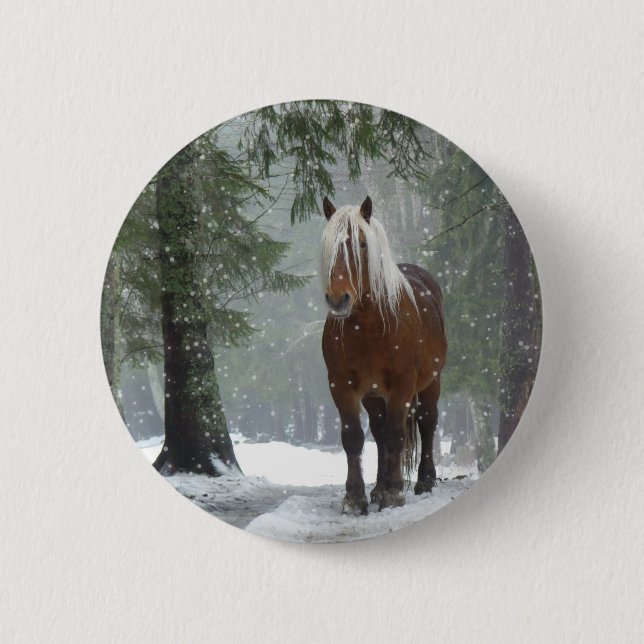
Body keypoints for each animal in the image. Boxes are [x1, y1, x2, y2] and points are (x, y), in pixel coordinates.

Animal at [320, 196, 447, 515]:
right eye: (328, 244)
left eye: (363, 244)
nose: (338, 299)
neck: (368, 326)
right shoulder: (341, 385)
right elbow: (354, 437)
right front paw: (355, 498)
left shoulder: (403, 384)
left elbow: (396, 435)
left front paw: (394, 493)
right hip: (373, 394)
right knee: (378, 432)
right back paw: (378, 488)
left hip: (431, 382)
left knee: (426, 423)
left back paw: (423, 482)